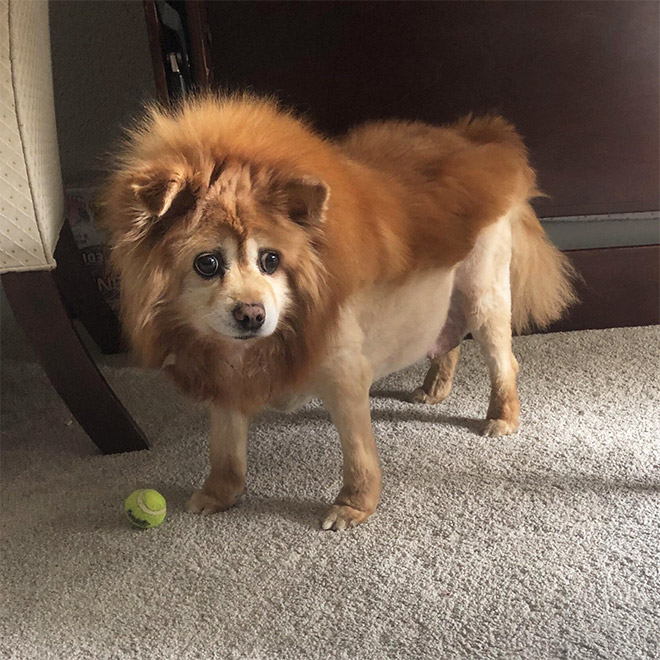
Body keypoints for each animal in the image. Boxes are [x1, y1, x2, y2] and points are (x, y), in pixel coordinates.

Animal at [100, 94, 576, 532]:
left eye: (271, 260)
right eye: (207, 263)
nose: (252, 314)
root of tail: (483, 141)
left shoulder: (345, 375)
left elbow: (357, 452)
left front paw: (353, 506)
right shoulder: (226, 380)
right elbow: (225, 447)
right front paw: (220, 493)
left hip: (483, 296)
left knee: (503, 361)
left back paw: (501, 416)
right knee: (447, 340)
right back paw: (434, 389)